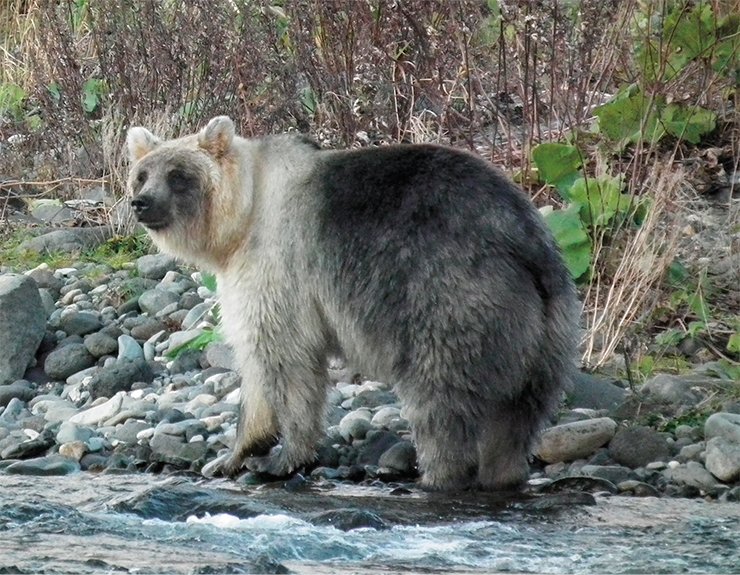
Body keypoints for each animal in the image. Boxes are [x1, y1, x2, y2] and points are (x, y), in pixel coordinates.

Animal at [127, 116, 578, 491]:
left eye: (178, 175)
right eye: (142, 175)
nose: (141, 202)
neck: (243, 216)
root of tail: (522, 242)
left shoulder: (275, 265)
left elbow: (280, 359)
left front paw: (277, 455)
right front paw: (232, 455)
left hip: (450, 300)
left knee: (441, 399)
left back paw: (437, 475)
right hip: (548, 328)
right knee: (518, 416)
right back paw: (504, 473)